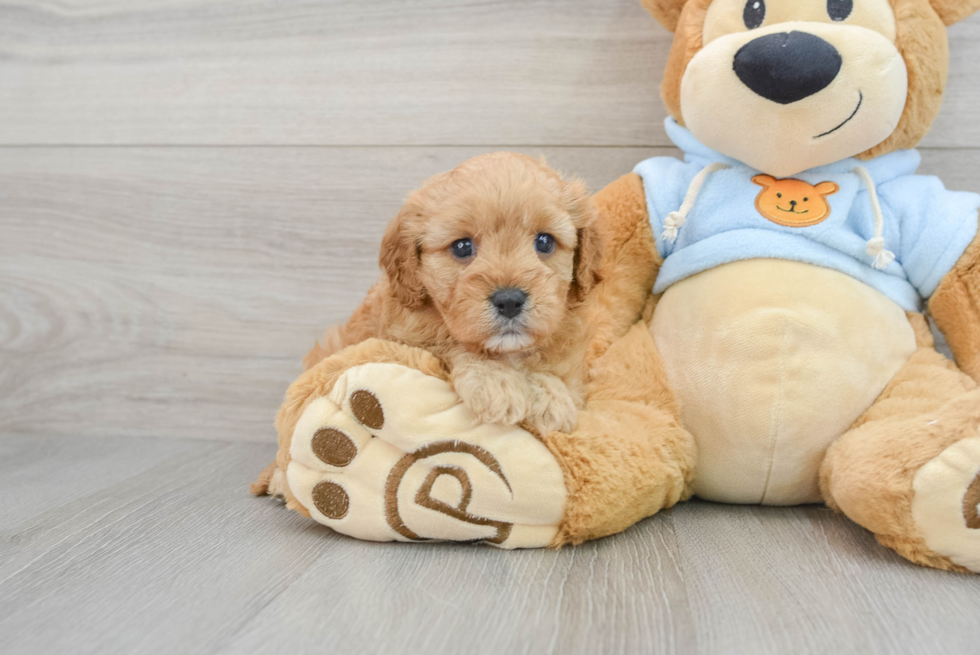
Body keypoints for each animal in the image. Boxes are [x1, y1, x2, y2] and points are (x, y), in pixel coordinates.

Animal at [306, 151, 600, 434]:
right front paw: (496, 382)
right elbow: (449, 342)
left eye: (545, 242)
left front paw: (550, 397)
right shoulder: (404, 340)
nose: (509, 301)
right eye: (462, 247)